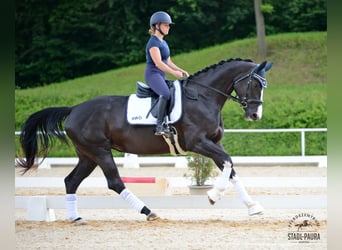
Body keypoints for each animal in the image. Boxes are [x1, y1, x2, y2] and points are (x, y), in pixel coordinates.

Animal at [16, 57, 272, 222]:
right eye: (255, 83)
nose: (255, 115)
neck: (204, 97)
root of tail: (74, 109)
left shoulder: (214, 143)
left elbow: (231, 169)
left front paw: (253, 207)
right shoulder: (198, 143)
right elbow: (228, 162)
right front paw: (212, 196)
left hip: (88, 155)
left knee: (71, 181)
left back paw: (75, 217)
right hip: (100, 151)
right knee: (115, 182)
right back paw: (149, 212)